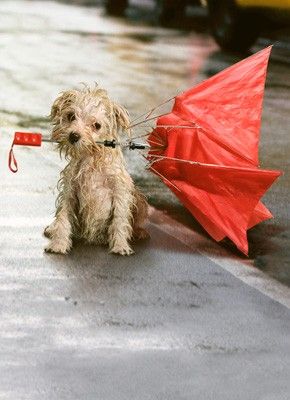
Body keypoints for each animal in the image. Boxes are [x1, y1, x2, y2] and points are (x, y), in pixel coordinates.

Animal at [45, 87, 150, 256]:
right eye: (71, 116)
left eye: (97, 125)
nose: (74, 135)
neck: (91, 160)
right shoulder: (70, 193)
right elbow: (63, 218)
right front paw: (58, 243)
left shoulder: (120, 192)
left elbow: (119, 220)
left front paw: (120, 245)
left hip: (140, 200)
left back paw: (139, 232)